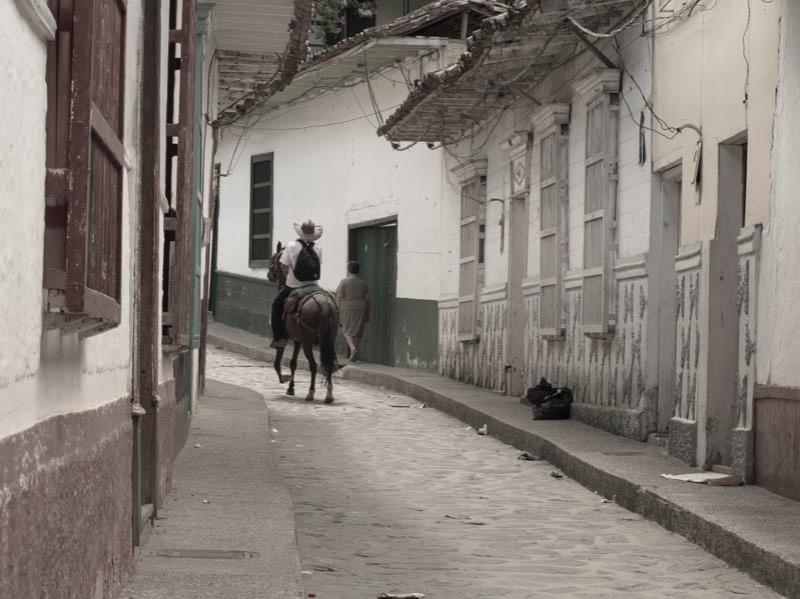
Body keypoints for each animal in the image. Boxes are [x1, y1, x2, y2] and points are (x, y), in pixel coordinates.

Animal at [268, 243, 340, 404]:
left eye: (274, 260)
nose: (269, 274)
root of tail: (323, 303)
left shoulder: (286, 337)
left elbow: (277, 362)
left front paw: (284, 379)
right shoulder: (297, 340)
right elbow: (293, 363)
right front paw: (291, 388)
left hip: (307, 341)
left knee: (313, 365)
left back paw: (311, 392)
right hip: (329, 338)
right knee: (328, 363)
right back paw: (329, 394)